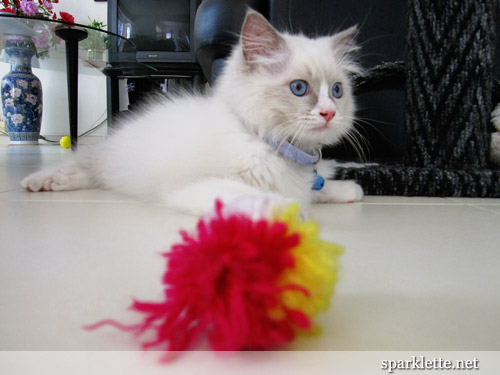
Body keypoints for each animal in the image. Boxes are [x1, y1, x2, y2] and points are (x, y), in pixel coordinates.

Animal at [21, 10, 364, 216]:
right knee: (83, 163)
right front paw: (291, 210)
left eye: (337, 91)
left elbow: (315, 189)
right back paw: (43, 181)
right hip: (109, 157)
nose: (329, 113)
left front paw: (347, 190)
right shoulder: (195, 185)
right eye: (299, 88)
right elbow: (255, 196)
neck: (268, 142)